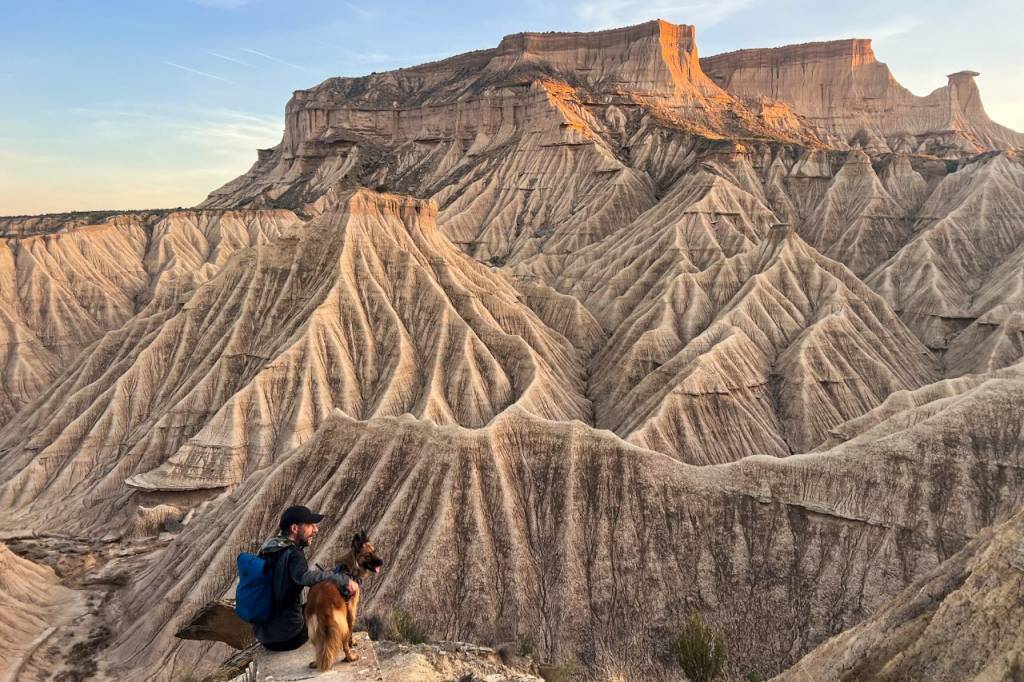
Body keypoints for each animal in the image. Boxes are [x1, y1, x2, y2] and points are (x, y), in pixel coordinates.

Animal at [305, 528, 385, 667]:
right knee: (344, 643)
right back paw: (350, 657)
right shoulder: (352, 609)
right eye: (368, 555)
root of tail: (321, 604)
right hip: (341, 625)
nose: (382, 561)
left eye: (374, 551)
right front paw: (352, 643)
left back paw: (316, 662)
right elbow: (351, 633)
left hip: (314, 631)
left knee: (319, 647)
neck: (350, 568)